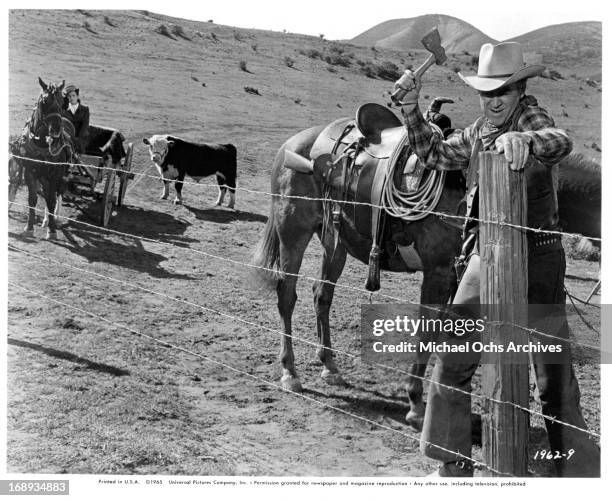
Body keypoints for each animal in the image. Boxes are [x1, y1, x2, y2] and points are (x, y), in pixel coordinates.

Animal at [10, 77, 77, 239]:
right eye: (45, 101)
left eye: (62, 101)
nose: (56, 131)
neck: (41, 143)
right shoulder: (30, 172)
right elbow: (32, 199)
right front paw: (29, 227)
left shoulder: (55, 174)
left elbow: (51, 201)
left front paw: (52, 231)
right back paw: (46, 220)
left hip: (60, 174)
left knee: (57, 193)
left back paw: (54, 218)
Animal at [252, 106, 604, 430]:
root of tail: (293, 145)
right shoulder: (437, 272)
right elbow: (427, 331)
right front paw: (415, 404)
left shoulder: (459, 277)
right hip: (293, 233)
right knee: (287, 295)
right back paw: (290, 373)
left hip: (334, 242)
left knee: (321, 295)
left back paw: (329, 366)